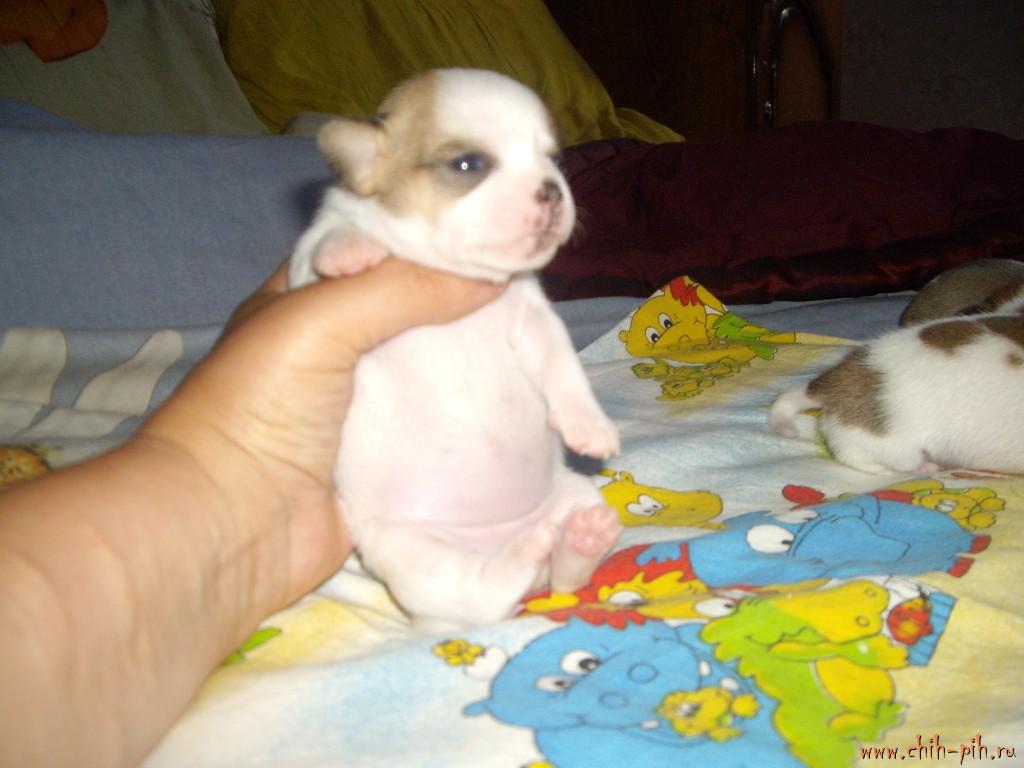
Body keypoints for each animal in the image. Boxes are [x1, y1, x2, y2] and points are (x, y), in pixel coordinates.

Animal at [288, 69, 621, 631]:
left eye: (555, 161)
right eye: (469, 164)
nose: (552, 190)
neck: (452, 267)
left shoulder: (533, 320)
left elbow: (564, 370)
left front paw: (589, 425)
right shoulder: (309, 275)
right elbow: (326, 241)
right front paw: (349, 249)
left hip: (572, 492)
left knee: (560, 578)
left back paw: (582, 538)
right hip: (415, 555)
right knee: (481, 595)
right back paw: (522, 556)